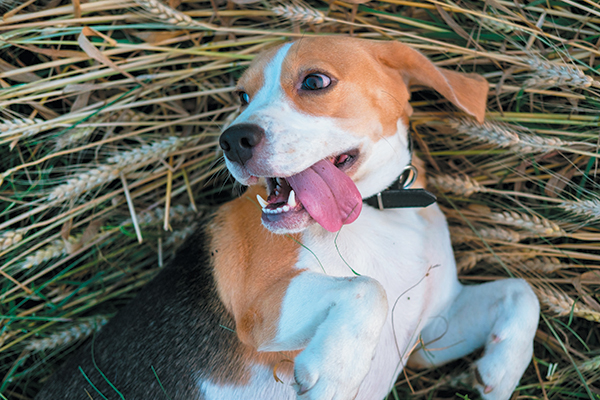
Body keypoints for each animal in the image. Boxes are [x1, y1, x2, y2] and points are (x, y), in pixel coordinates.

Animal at [38, 37, 544, 400]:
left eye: (315, 82)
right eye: (243, 95)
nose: (232, 140)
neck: (376, 213)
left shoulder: (429, 336)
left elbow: (523, 292)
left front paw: (500, 372)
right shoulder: (258, 307)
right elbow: (367, 287)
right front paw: (338, 372)